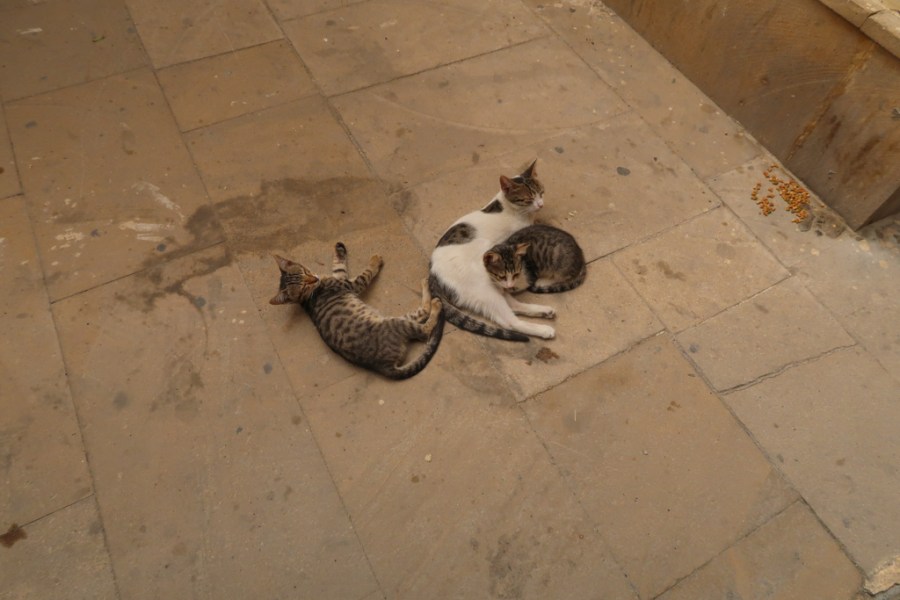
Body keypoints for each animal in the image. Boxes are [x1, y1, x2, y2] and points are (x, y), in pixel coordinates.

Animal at [270, 242, 444, 380]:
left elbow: (338, 266)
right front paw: (374, 260)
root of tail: (384, 367)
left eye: (305, 271)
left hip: (395, 318)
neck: (309, 297)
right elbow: (366, 273)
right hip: (396, 323)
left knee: (421, 315)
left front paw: (339, 249)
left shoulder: (339, 277)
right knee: (425, 327)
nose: (315, 278)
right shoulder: (351, 285)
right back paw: (434, 300)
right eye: (304, 285)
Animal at [429, 159, 556, 341]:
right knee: (510, 321)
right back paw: (544, 330)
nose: (541, 204)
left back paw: (543, 310)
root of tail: (432, 272)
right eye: (529, 198)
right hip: (486, 287)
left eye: (541, 192)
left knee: (513, 305)